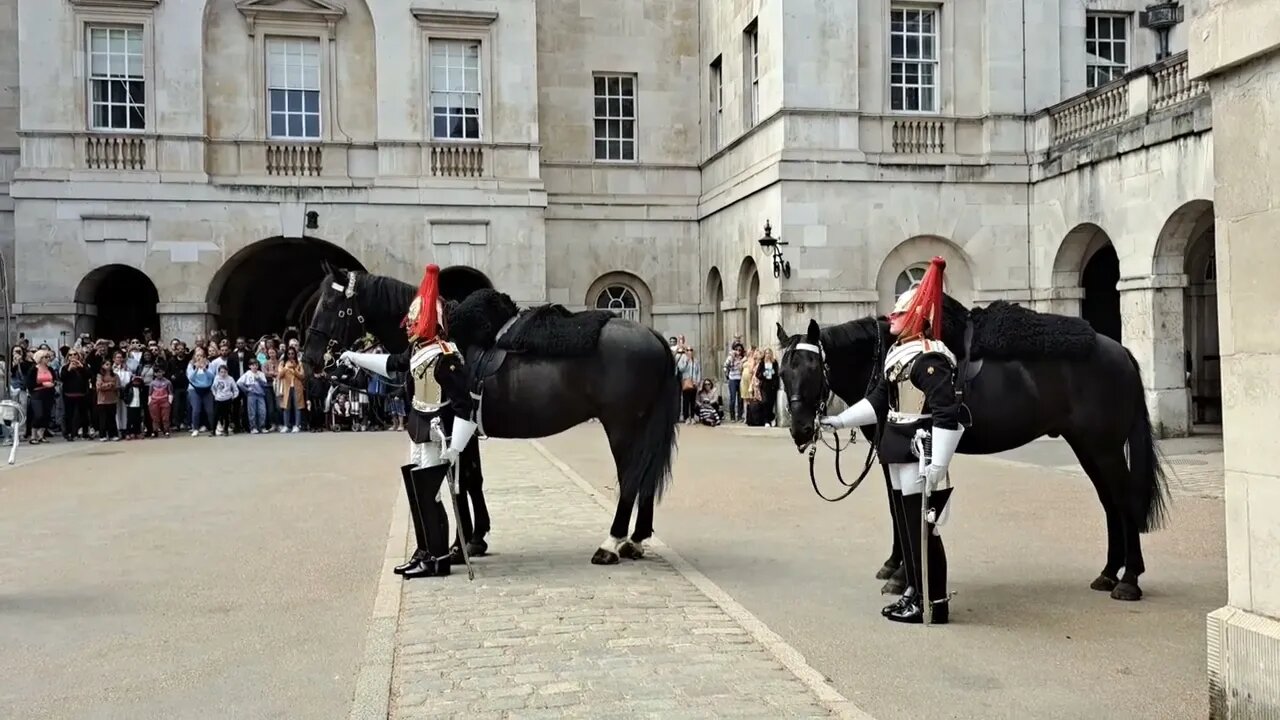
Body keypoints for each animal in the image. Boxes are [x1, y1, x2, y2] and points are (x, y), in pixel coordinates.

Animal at [302, 263, 680, 561]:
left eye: (332, 305)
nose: (310, 359)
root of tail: (653, 335)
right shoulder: (466, 425)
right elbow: (472, 477)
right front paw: (476, 537)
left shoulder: (452, 418)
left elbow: (459, 479)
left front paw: (459, 546)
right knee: (643, 476)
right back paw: (635, 540)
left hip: (622, 426)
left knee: (630, 478)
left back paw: (611, 543)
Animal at [778, 294, 1172, 602]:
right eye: (783, 372)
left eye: (813, 368)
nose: (800, 429)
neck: (883, 360)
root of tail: (1120, 349)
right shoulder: (891, 451)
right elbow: (895, 506)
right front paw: (896, 566)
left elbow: (901, 507)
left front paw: (901, 574)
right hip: (1088, 447)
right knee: (1109, 502)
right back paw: (1108, 572)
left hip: (1104, 448)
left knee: (1123, 501)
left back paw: (1129, 579)